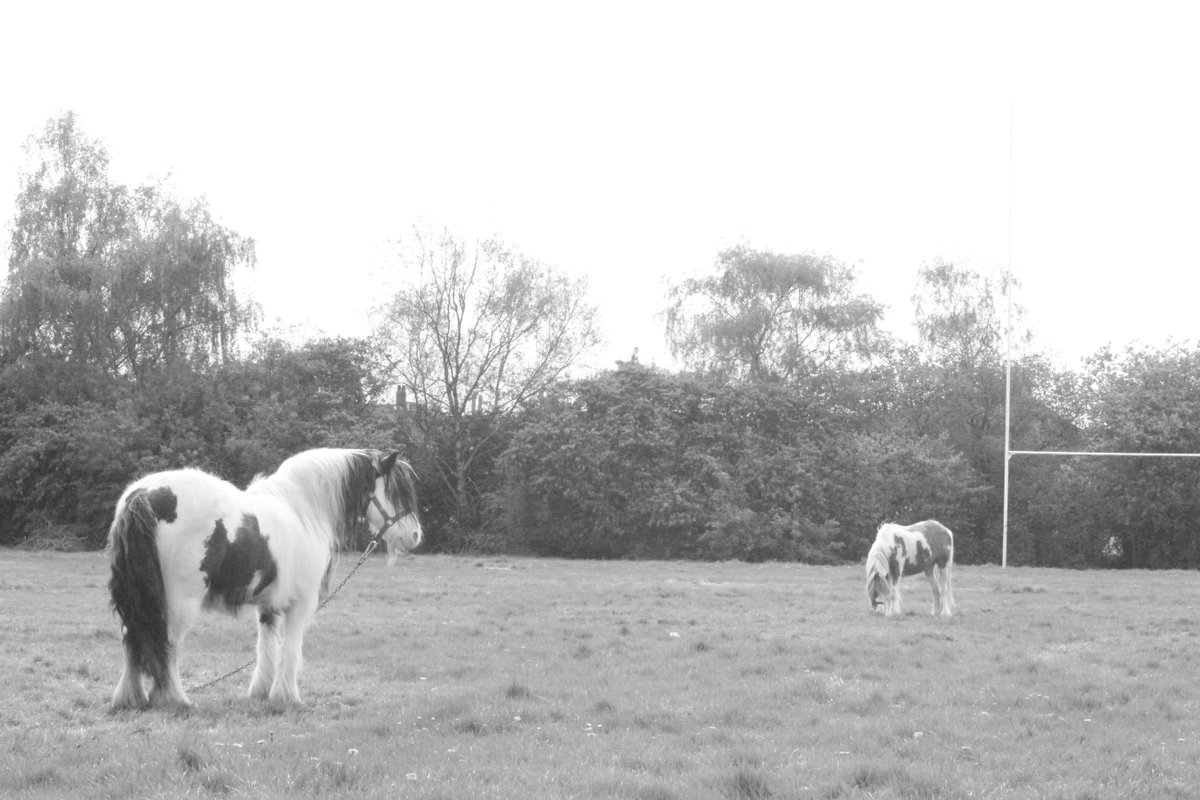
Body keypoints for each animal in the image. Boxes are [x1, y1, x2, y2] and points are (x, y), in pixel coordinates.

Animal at [105, 448, 422, 710]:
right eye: (396, 491)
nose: (415, 535)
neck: (302, 508)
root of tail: (142, 494)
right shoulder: (300, 605)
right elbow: (291, 647)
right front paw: (288, 697)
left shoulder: (268, 605)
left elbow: (267, 644)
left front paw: (261, 691)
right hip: (178, 602)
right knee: (167, 644)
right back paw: (175, 699)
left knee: (131, 639)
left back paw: (131, 698)